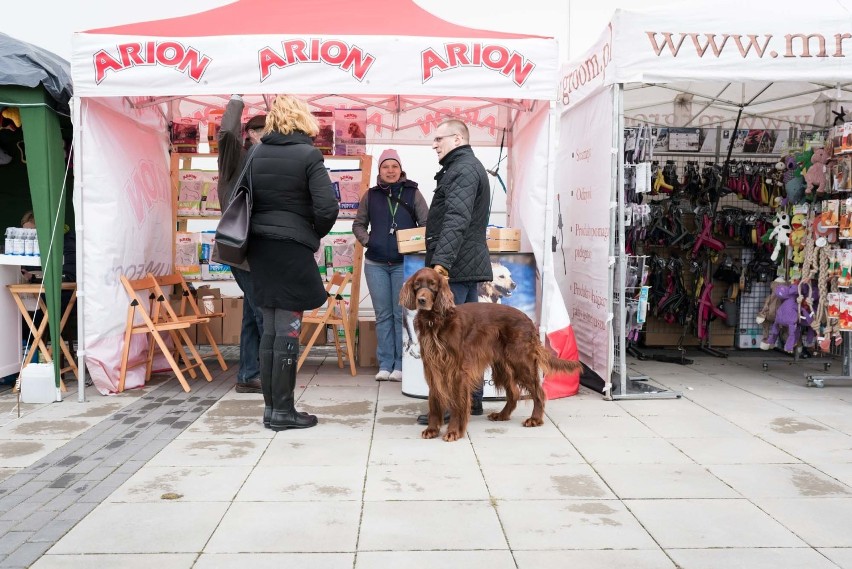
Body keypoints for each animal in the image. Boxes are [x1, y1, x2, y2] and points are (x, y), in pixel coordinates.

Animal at [400, 266, 580, 440]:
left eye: (432, 284)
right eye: (417, 284)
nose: (421, 300)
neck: (436, 321)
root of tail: (528, 320)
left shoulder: (457, 371)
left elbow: (457, 404)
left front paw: (453, 432)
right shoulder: (433, 368)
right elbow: (435, 401)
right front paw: (432, 429)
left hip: (520, 362)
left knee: (538, 392)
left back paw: (535, 419)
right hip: (502, 365)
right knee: (514, 393)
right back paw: (502, 415)